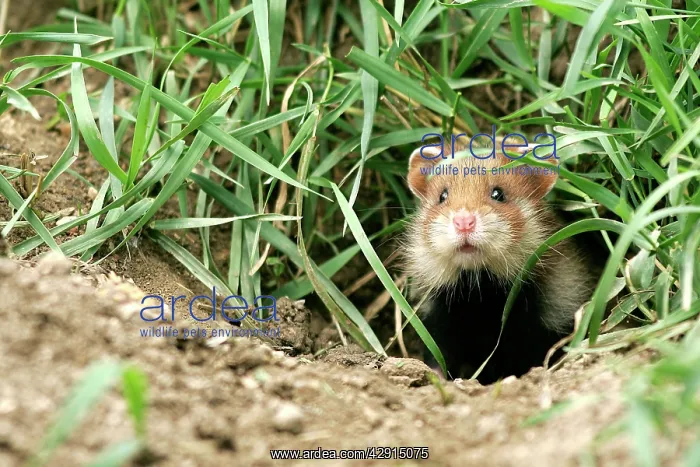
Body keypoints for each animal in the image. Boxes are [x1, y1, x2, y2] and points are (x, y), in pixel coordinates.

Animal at [403, 140, 598, 384]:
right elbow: (439, 354)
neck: (481, 297)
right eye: (442, 196)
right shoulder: (438, 316)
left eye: (498, 193)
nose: (463, 221)